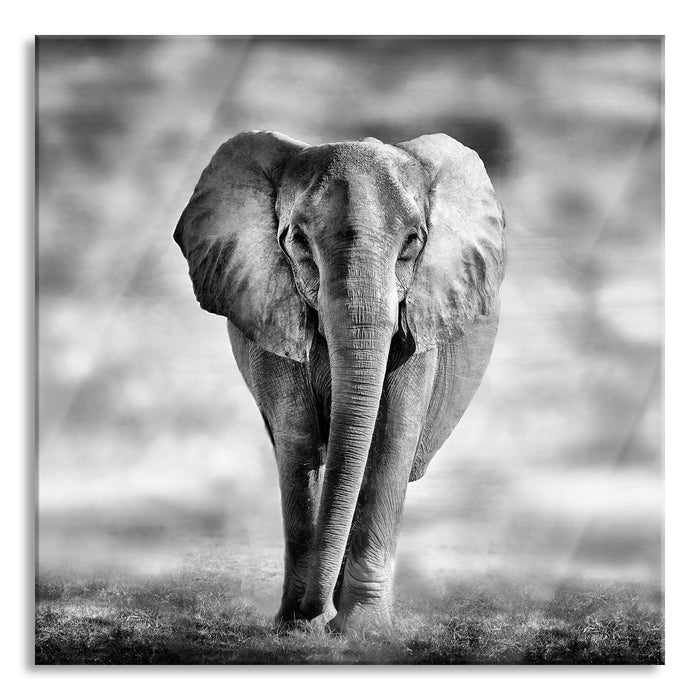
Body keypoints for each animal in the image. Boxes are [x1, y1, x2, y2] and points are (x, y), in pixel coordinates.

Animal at [174, 130, 506, 636]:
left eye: (412, 242)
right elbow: (298, 439)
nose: (315, 614)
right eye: (298, 241)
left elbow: (389, 439)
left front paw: (362, 631)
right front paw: (297, 627)